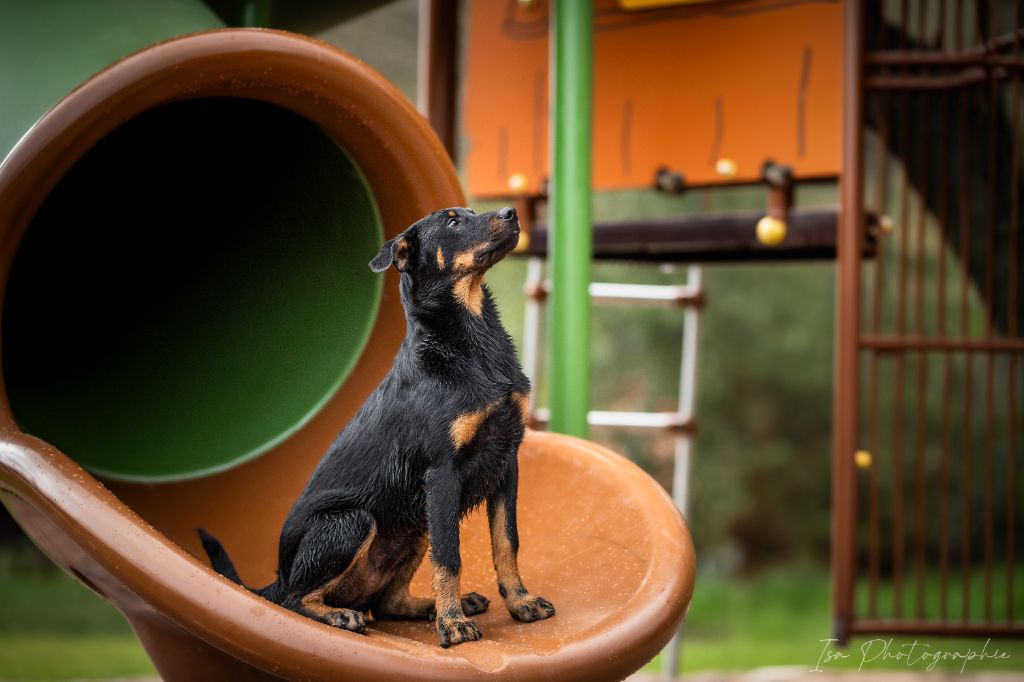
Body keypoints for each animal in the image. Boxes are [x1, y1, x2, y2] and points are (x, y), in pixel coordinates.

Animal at [197, 204, 552, 647]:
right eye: (453, 221)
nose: (511, 213)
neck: (469, 340)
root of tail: (276, 578)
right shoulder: (442, 474)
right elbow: (450, 558)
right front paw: (452, 625)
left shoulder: (506, 462)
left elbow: (507, 541)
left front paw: (521, 602)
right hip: (355, 521)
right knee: (296, 600)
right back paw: (344, 615)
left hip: (415, 524)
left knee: (385, 602)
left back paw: (435, 606)